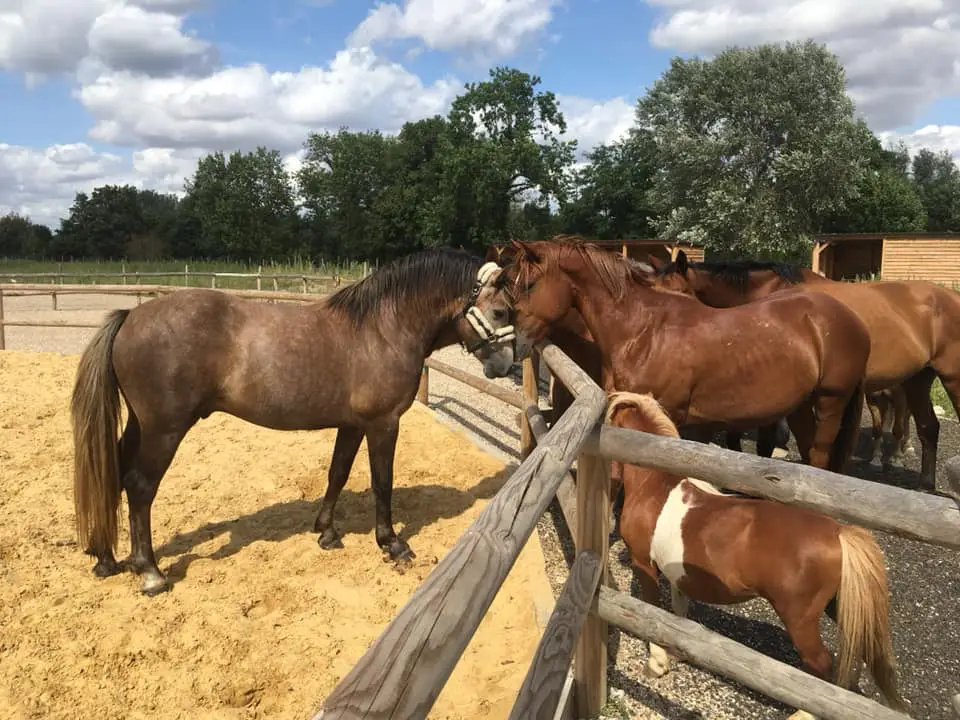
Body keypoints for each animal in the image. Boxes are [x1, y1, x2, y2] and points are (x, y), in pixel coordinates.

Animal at [71, 247, 506, 596]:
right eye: (501, 310)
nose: (506, 365)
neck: (382, 330)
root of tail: (131, 316)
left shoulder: (352, 425)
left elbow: (337, 474)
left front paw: (326, 532)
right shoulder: (383, 424)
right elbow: (383, 483)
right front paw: (392, 543)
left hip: (140, 426)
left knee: (114, 472)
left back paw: (107, 558)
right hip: (164, 430)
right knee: (140, 487)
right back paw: (150, 572)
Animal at [471, 239, 870, 474]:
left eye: (527, 284)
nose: (511, 346)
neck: (642, 331)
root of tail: (849, 318)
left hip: (830, 403)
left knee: (819, 455)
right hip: (803, 406)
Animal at [605, 391, 905, 717]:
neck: (653, 485)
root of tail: (839, 531)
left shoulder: (643, 563)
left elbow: (651, 608)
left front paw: (656, 663)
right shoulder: (676, 573)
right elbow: (677, 611)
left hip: (800, 619)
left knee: (820, 664)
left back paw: (804, 712)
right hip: (838, 605)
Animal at [651, 250, 960, 497]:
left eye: (680, 294)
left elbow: (765, 442)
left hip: (950, 378)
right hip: (919, 379)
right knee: (928, 428)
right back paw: (924, 484)